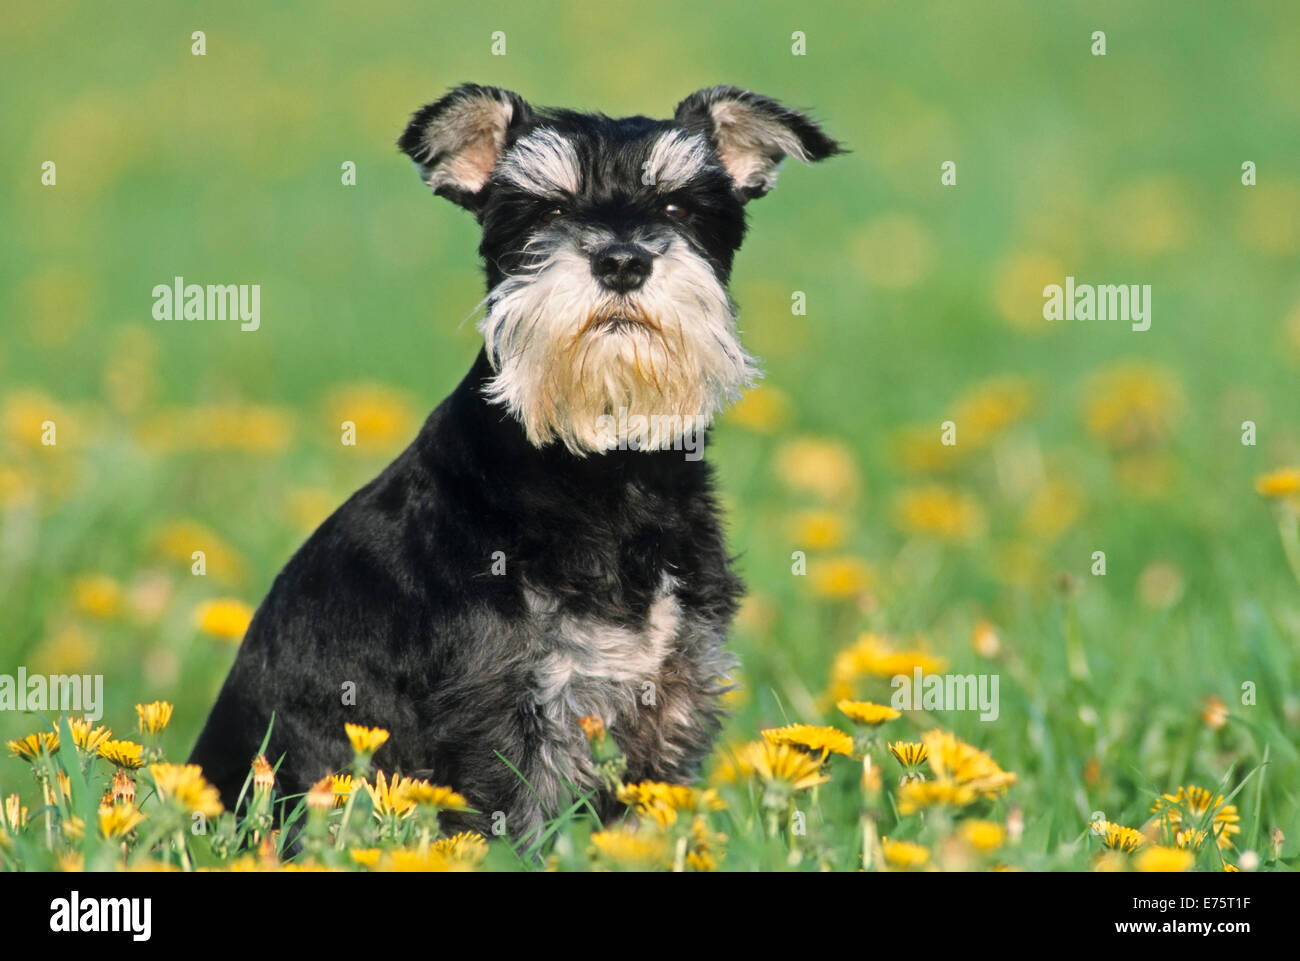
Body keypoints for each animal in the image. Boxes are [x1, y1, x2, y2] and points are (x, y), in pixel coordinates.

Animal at [189, 84, 842, 842]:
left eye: (679, 208)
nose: (622, 261)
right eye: (548, 210)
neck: (606, 469)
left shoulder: (671, 700)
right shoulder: (502, 718)